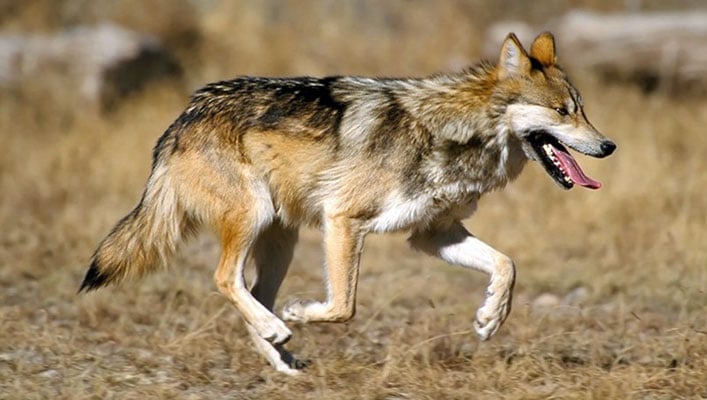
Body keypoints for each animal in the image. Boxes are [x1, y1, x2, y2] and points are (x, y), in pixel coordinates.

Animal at [79, 32, 616, 374]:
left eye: (583, 110)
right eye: (562, 112)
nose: (609, 145)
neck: (455, 132)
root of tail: (184, 116)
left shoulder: (433, 234)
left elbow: (507, 265)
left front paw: (490, 318)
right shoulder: (344, 220)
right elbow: (343, 306)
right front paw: (301, 313)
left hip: (282, 240)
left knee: (252, 293)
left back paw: (281, 357)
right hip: (255, 219)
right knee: (226, 279)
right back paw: (280, 328)